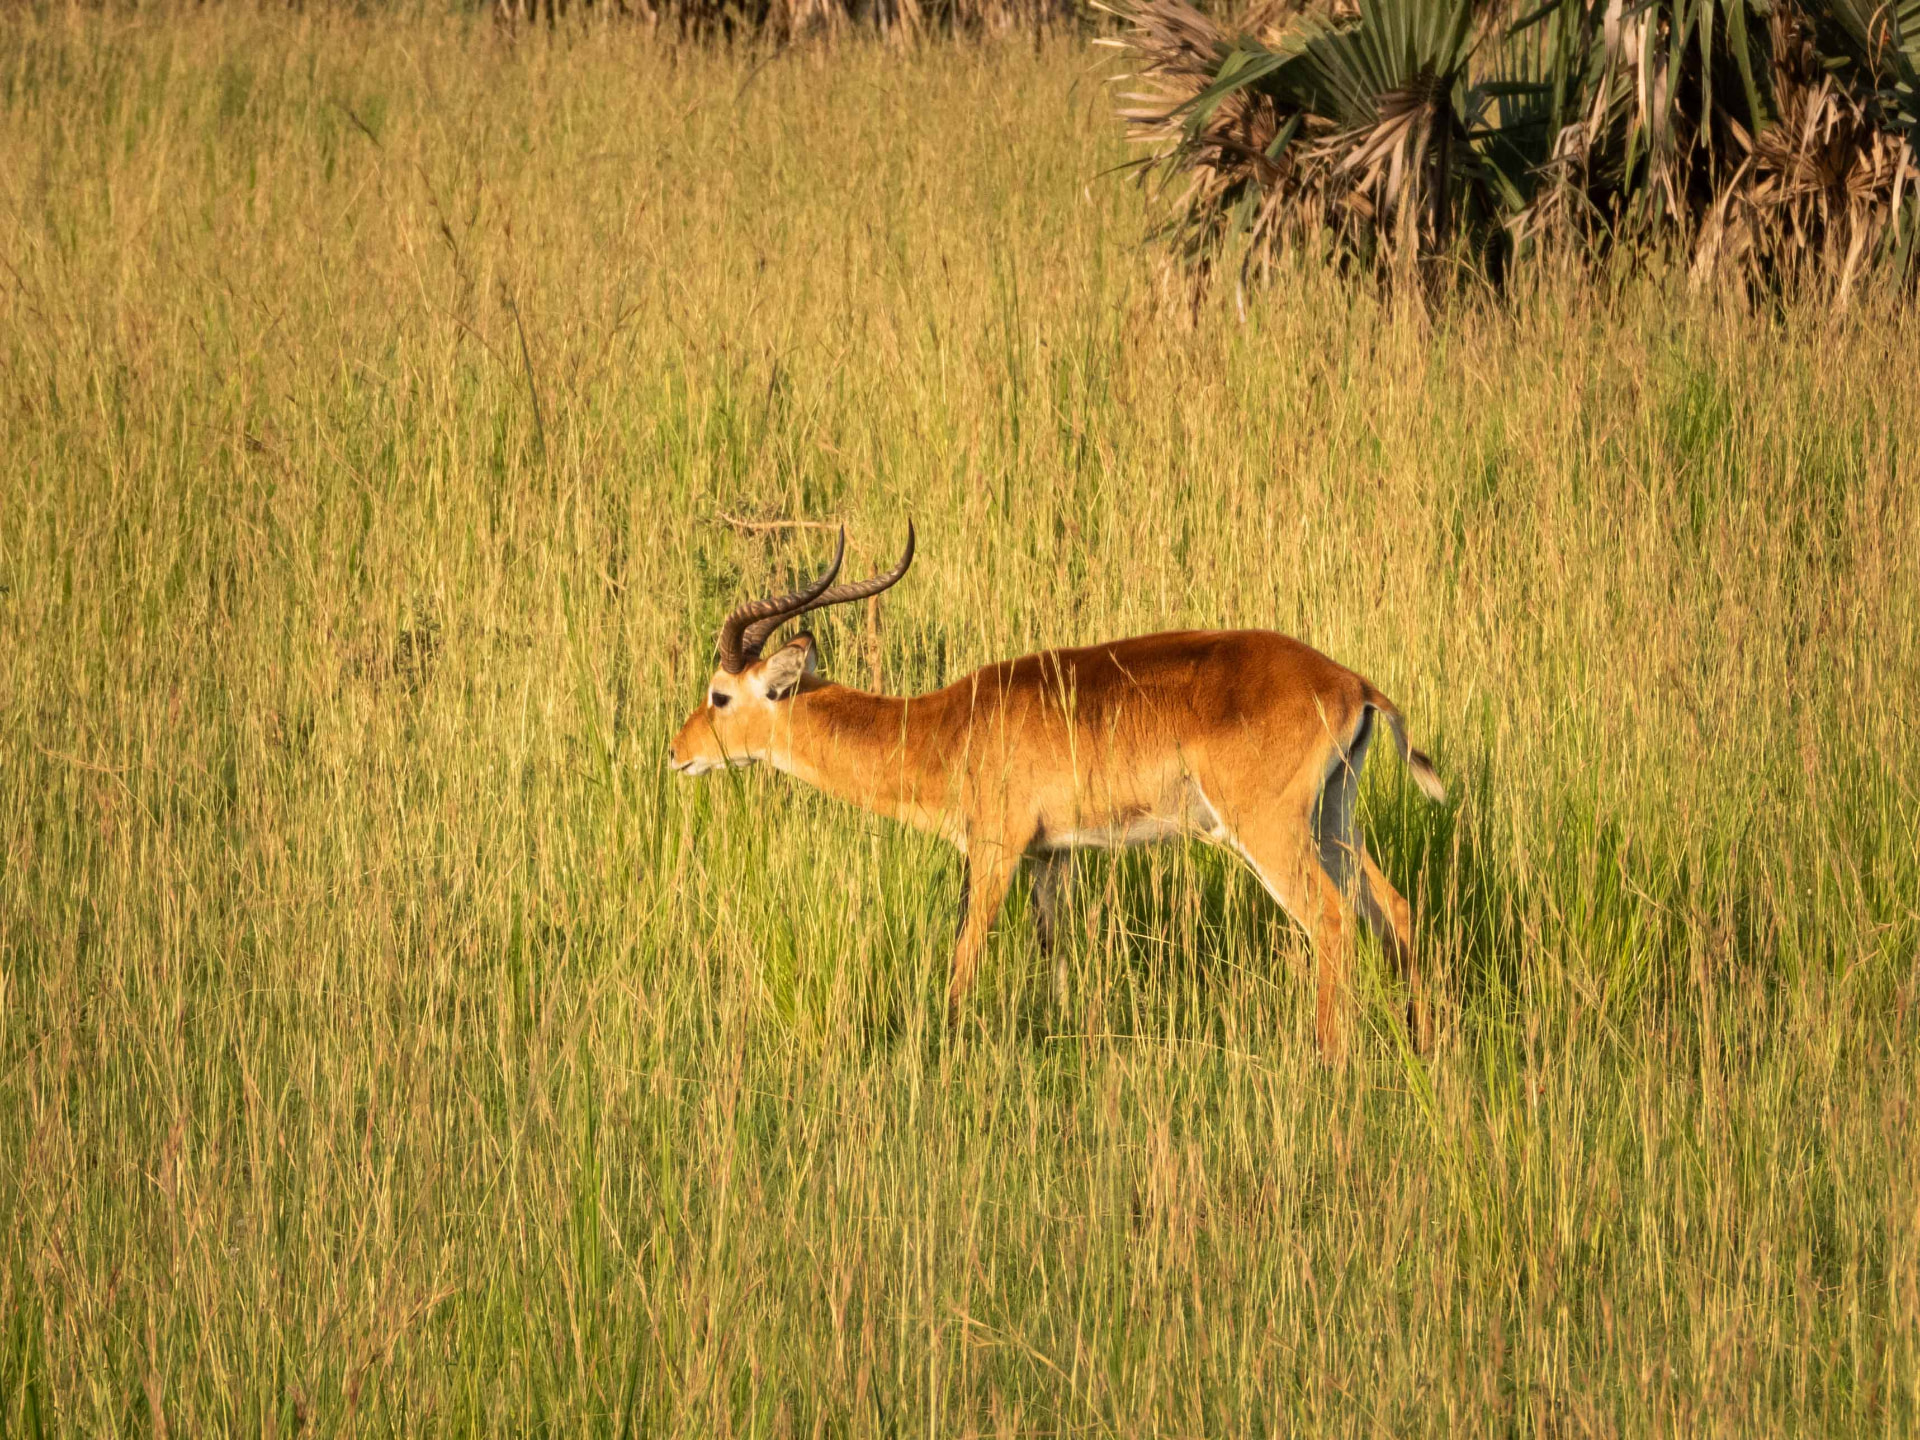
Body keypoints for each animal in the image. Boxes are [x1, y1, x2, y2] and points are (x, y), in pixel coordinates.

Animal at [667, 523, 1447, 1061]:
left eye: (719, 695)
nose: (676, 753)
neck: (944, 729)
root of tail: (1352, 684)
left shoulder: (996, 850)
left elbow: (965, 953)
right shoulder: (1053, 857)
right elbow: (1054, 953)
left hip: (1269, 831)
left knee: (1332, 920)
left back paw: (1328, 1062)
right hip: (1333, 817)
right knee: (1395, 909)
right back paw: (1420, 1047)